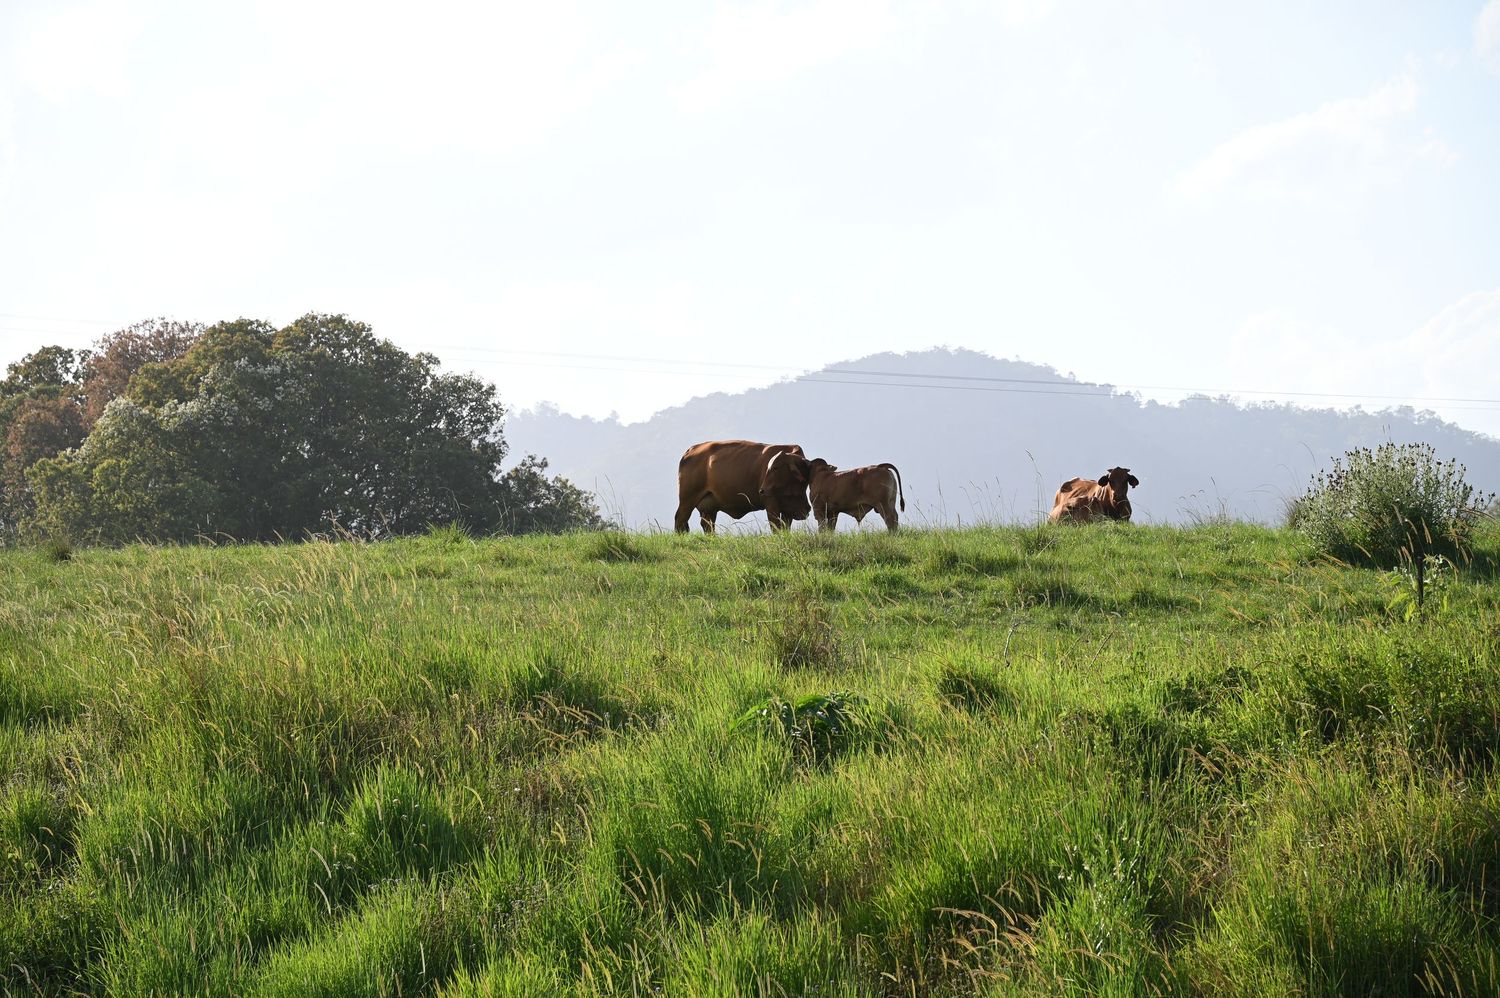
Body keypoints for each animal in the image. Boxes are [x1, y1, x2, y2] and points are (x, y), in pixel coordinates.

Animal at [674, 440, 814, 533]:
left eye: (776, 467)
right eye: (769, 467)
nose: (762, 489)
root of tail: (692, 449)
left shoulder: (788, 508)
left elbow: (785, 526)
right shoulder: (771, 503)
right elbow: (776, 526)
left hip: (709, 506)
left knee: (707, 524)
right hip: (687, 498)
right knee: (680, 519)